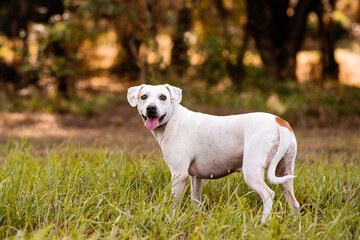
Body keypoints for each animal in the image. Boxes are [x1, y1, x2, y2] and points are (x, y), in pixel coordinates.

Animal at [128, 83, 300, 222]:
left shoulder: (179, 174)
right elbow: (195, 200)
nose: (151, 108)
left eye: (163, 97)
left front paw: (171, 220)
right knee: (294, 202)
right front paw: (195, 219)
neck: (172, 120)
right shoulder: (195, 177)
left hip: (252, 173)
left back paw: (263, 223)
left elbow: (174, 203)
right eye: (143, 97)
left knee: (268, 195)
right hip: (285, 172)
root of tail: (279, 122)